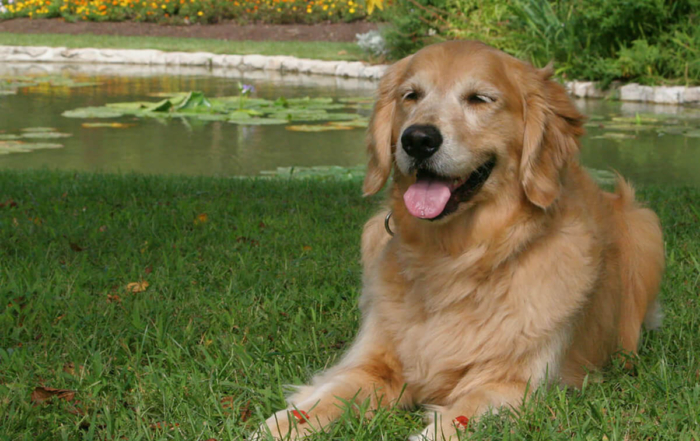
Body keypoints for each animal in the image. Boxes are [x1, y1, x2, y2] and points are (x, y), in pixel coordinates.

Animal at [254, 39, 664, 438]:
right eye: (411, 95)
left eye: (479, 99)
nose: (418, 139)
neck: (457, 256)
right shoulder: (374, 363)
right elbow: (324, 399)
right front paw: (278, 425)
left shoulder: (514, 385)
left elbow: (452, 421)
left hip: (646, 225)